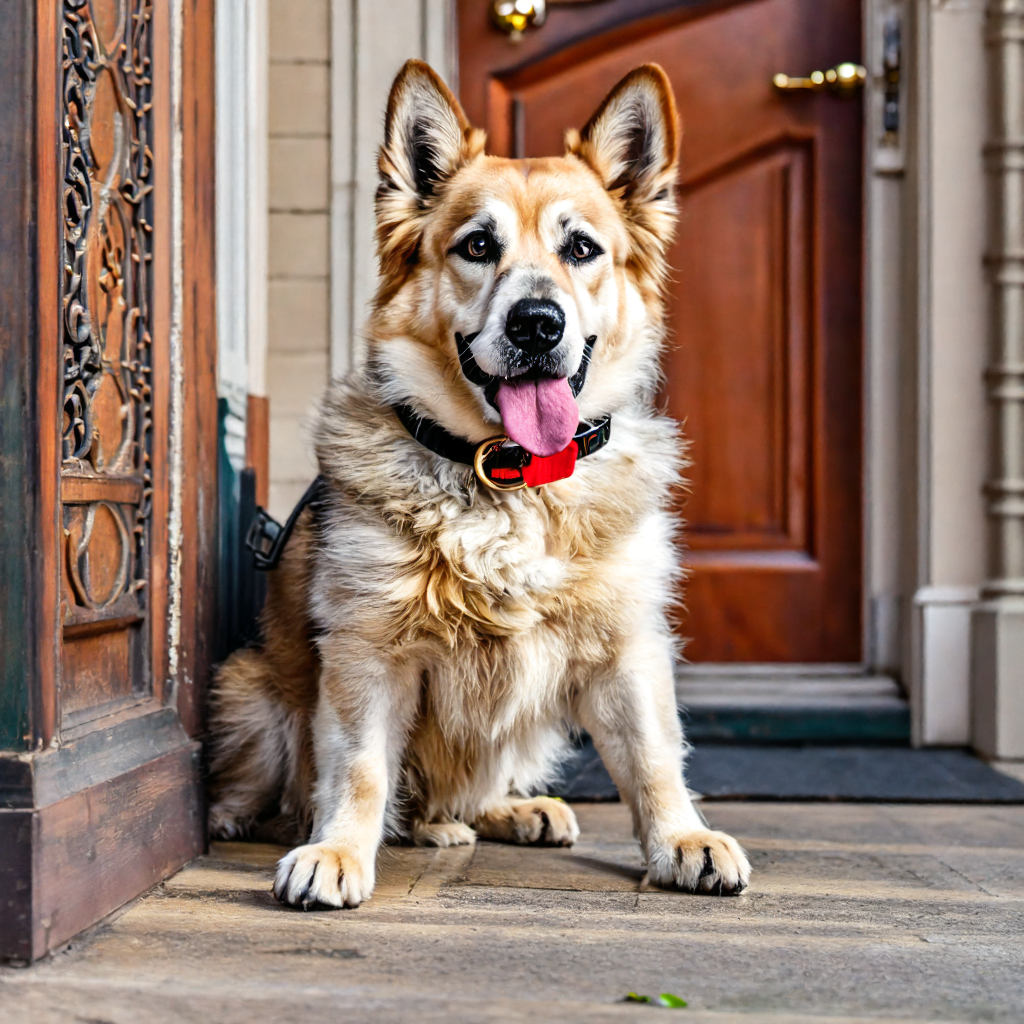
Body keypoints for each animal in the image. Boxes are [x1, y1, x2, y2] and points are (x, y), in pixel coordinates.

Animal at [207, 58, 753, 905]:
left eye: (581, 247)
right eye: (477, 245)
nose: (537, 323)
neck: (511, 475)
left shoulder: (626, 650)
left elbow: (655, 757)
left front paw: (680, 837)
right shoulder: (369, 654)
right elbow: (358, 770)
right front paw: (337, 849)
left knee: (468, 791)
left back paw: (508, 811)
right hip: (250, 690)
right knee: (289, 791)